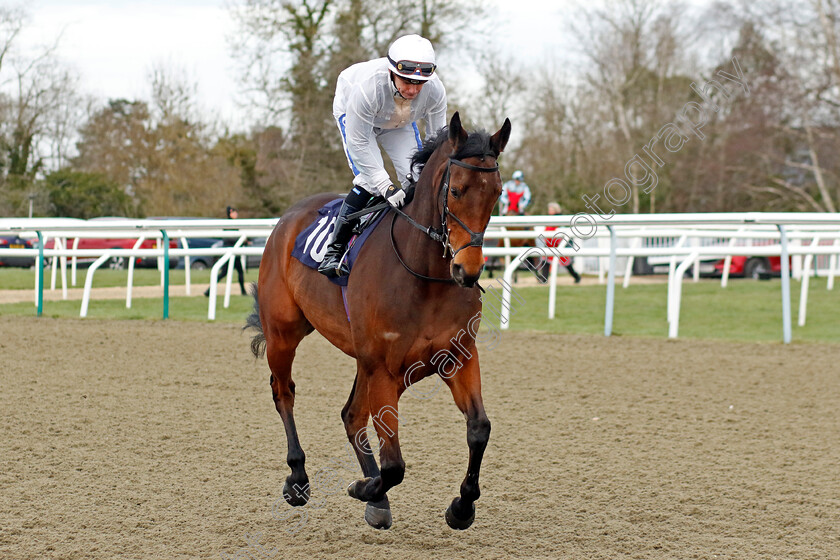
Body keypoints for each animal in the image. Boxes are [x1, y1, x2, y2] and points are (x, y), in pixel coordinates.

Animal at [246, 112, 512, 528]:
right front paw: (363, 487)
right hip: (283, 334)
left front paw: (461, 506)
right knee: (283, 392)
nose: (467, 271)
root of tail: (287, 219)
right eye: (456, 191)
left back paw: (375, 497)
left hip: (363, 357)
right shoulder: (384, 367)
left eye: (497, 193)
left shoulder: (457, 356)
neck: (423, 276)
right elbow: (395, 465)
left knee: (351, 414)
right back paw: (299, 477)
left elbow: (479, 429)